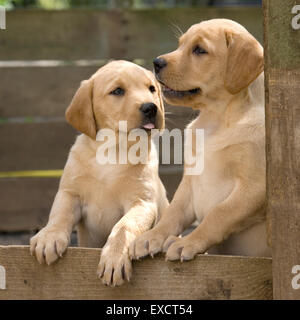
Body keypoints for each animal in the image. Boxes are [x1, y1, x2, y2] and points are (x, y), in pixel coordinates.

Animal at [30, 61, 169, 286]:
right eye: (118, 91)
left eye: (151, 89)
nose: (151, 107)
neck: (112, 150)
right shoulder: (70, 193)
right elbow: (59, 214)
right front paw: (48, 237)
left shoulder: (142, 203)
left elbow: (124, 227)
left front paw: (114, 257)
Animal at [131, 18, 272, 262]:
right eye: (180, 44)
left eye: (199, 50)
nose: (156, 62)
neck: (217, 118)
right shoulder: (191, 181)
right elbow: (173, 213)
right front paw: (153, 237)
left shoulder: (255, 187)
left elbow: (218, 214)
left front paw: (189, 242)